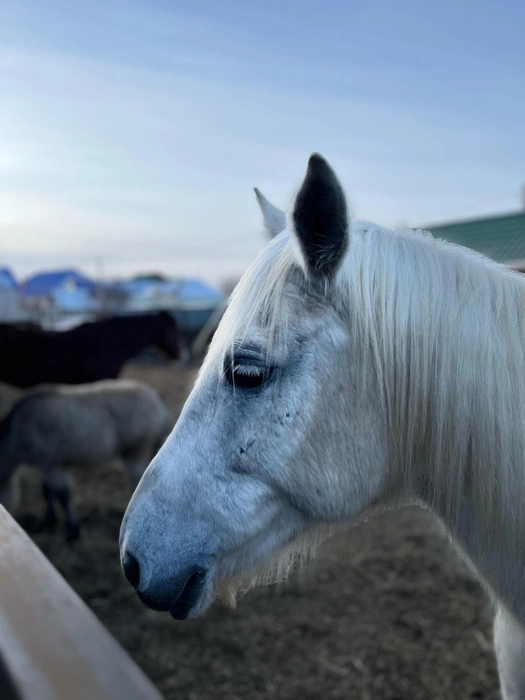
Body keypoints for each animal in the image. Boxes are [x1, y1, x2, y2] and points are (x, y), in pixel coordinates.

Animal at [0, 379, 172, 540]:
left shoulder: (50, 464)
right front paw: (49, 521)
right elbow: (48, 491)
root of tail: (160, 406)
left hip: (136, 451)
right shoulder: (52, 465)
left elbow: (63, 494)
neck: (13, 434)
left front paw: (73, 530)